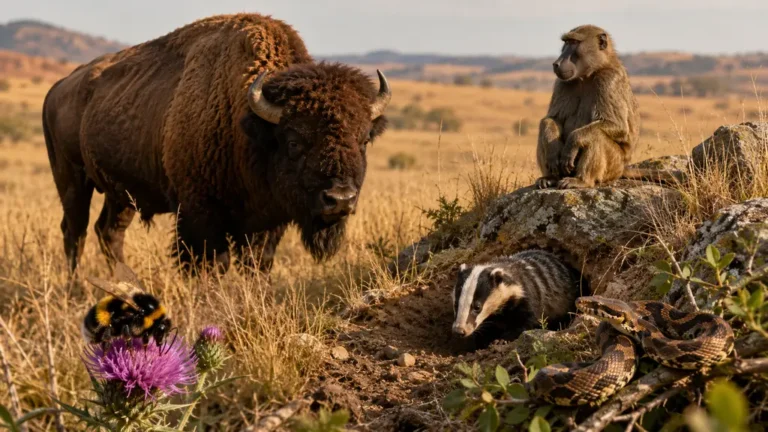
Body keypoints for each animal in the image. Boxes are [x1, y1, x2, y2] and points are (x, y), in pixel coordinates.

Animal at [42, 13, 391, 275]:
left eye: (363, 140)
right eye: (294, 141)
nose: (340, 199)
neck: (247, 124)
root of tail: (59, 87)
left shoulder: (267, 222)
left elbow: (257, 264)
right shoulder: (199, 215)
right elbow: (211, 264)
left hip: (122, 193)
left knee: (109, 233)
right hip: (72, 180)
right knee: (74, 233)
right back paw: (75, 292)